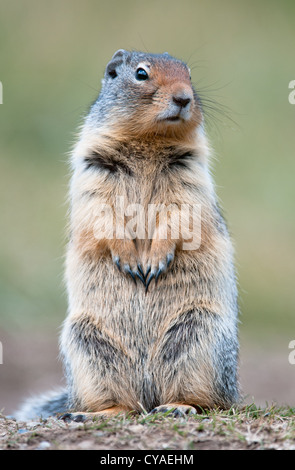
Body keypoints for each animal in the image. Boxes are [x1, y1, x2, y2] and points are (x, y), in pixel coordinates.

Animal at [14, 50, 240, 422]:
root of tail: (149, 394)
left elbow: (182, 214)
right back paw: (94, 413)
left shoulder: (190, 173)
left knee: (211, 401)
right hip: (87, 346)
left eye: (189, 75)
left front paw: (155, 259)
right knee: (125, 404)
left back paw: (178, 406)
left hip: (202, 336)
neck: (149, 140)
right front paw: (131, 261)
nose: (184, 97)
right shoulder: (93, 169)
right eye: (141, 74)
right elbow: (102, 215)